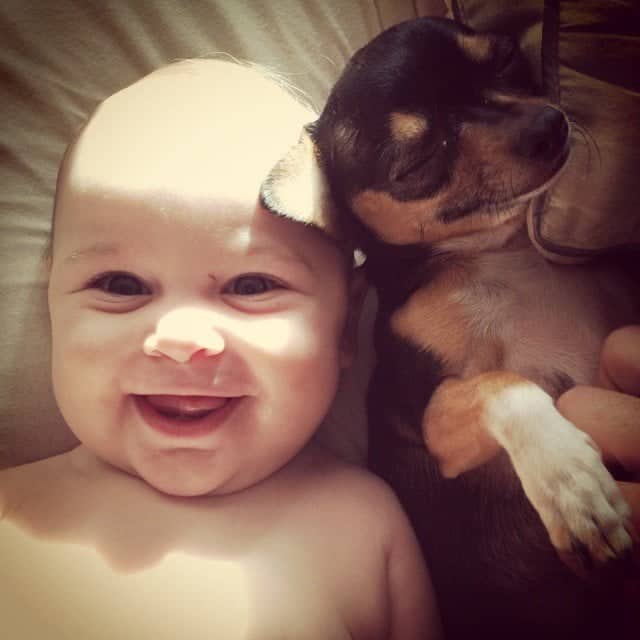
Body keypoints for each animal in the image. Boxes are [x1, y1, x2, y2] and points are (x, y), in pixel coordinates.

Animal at [262, 17, 640, 636]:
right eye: (416, 165)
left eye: (505, 59)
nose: (548, 125)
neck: (499, 255)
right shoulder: (431, 420)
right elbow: (500, 384)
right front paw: (570, 482)